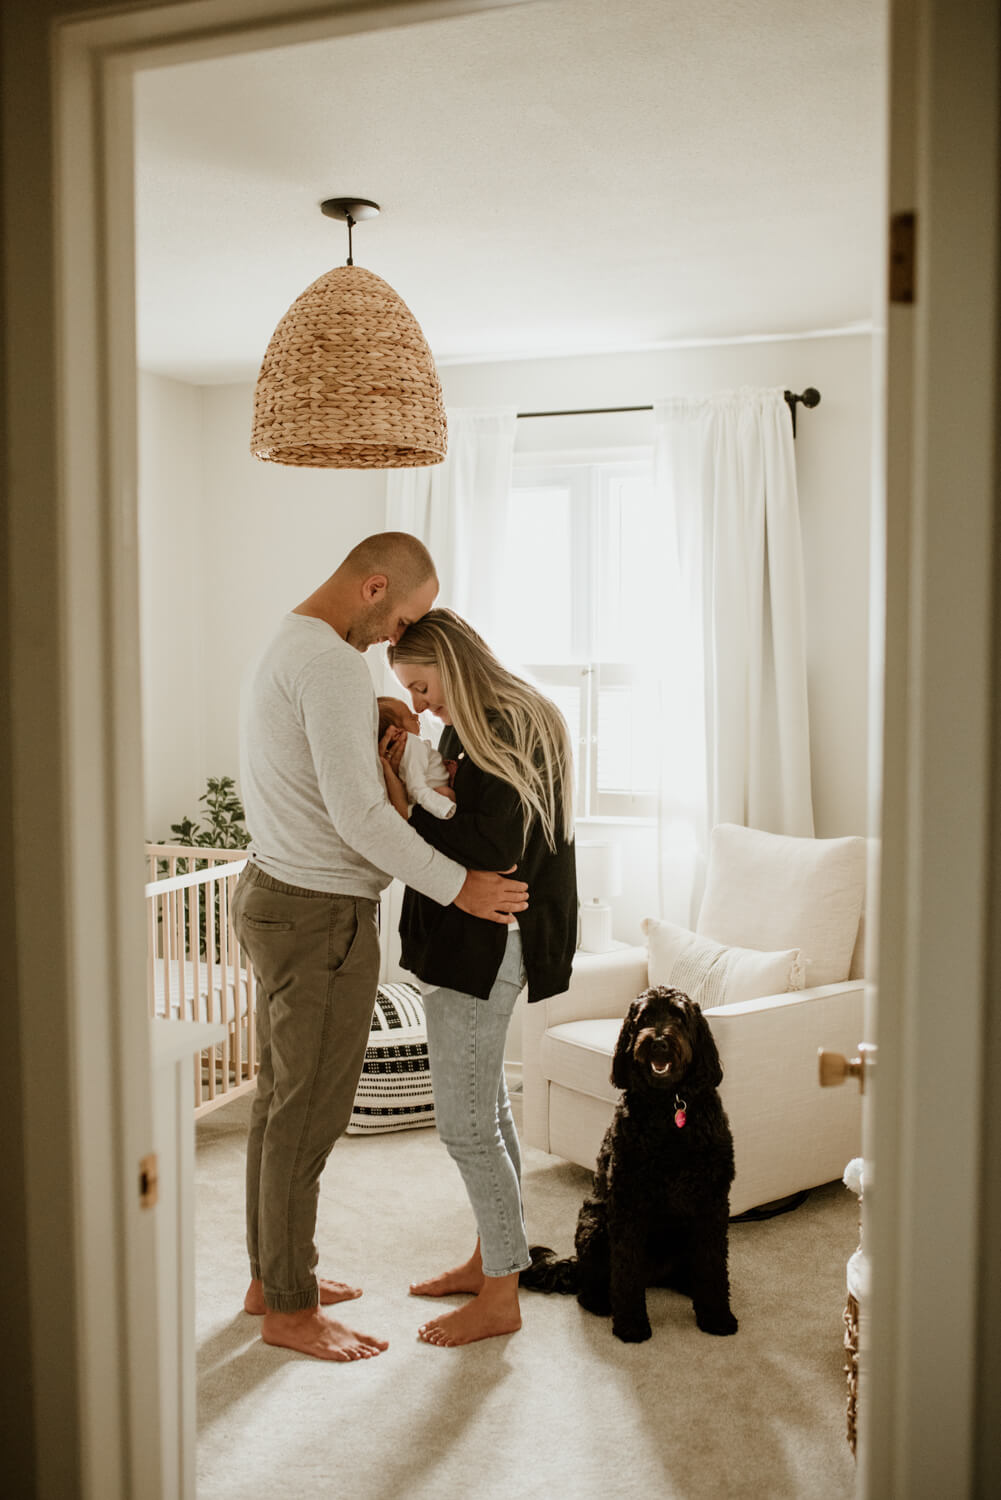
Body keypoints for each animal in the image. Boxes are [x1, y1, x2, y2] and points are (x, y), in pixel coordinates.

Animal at [522, 990, 741, 1344]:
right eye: (644, 1018)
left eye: (679, 1016)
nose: (659, 1042)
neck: (669, 1107)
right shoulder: (629, 1202)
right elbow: (626, 1269)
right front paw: (631, 1325)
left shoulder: (712, 1201)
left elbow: (713, 1264)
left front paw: (716, 1316)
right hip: (594, 1224)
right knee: (593, 1283)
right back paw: (599, 1300)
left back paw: (688, 1285)